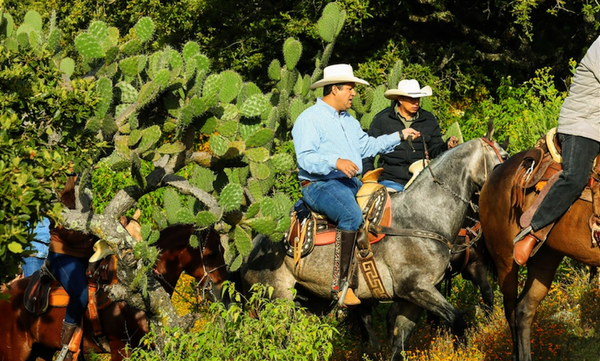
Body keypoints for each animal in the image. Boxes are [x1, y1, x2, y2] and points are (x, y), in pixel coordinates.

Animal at [241, 123, 508, 358]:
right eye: (504, 155)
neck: (421, 217)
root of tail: (253, 248)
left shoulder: (412, 299)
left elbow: (399, 344)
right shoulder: (417, 288)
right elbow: (458, 320)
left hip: (312, 301)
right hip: (277, 301)